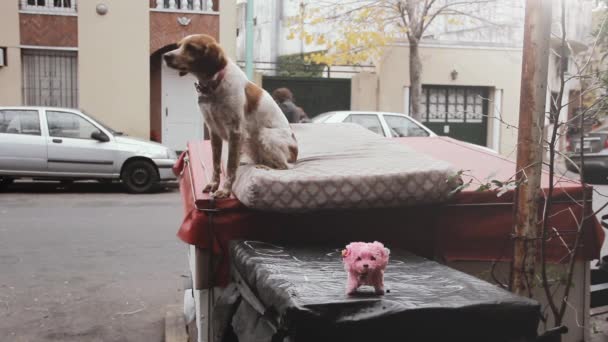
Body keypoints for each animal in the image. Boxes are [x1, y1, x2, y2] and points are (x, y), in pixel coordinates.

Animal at [163, 34, 298, 198]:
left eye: (191, 48)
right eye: (179, 46)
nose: (165, 56)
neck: (214, 85)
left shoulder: (235, 132)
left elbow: (230, 166)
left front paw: (225, 191)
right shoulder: (213, 131)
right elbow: (216, 163)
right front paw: (214, 185)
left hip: (266, 135)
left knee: (286, 166)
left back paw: (264, 167)